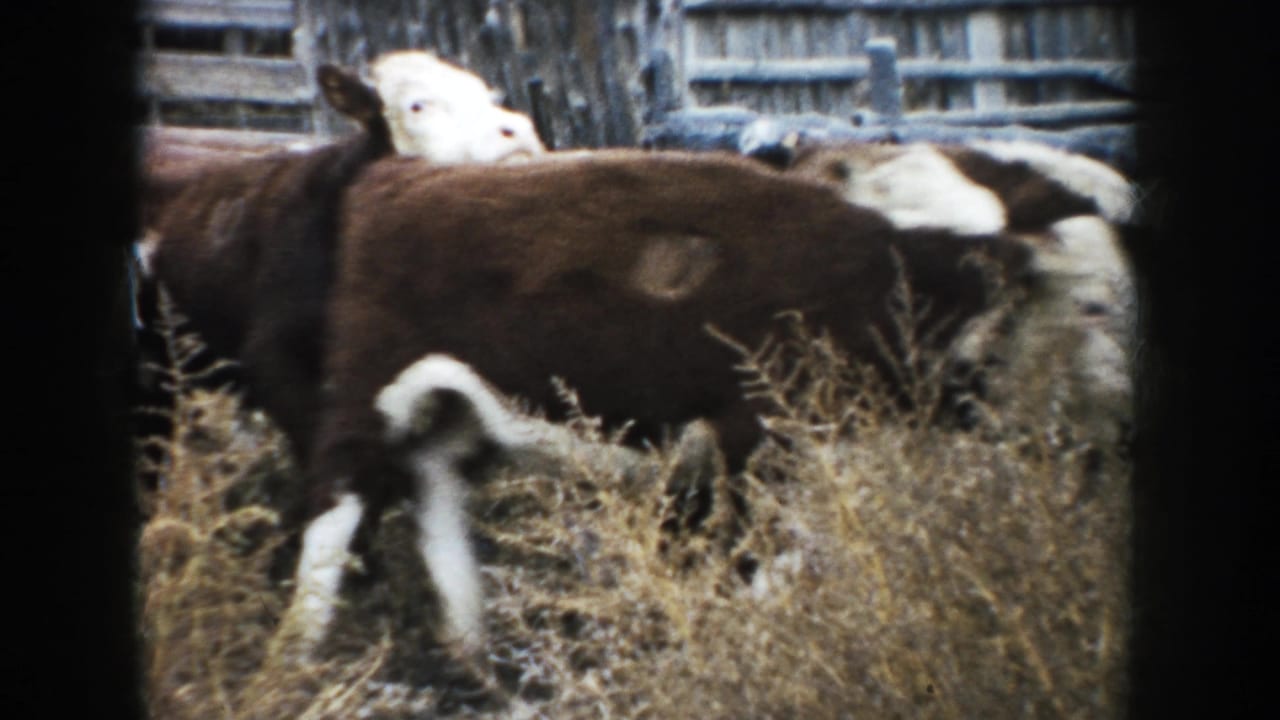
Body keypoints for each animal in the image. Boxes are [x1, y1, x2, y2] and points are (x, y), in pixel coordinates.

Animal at [271, 149, 1080, 660]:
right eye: (1090, 305)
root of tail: (398, 175)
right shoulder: (758, 438)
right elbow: (759, 561)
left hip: (452, 411)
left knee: (435, 499)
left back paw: (474, 655)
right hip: (367, 402)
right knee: (333, 513)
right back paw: (298, 655)